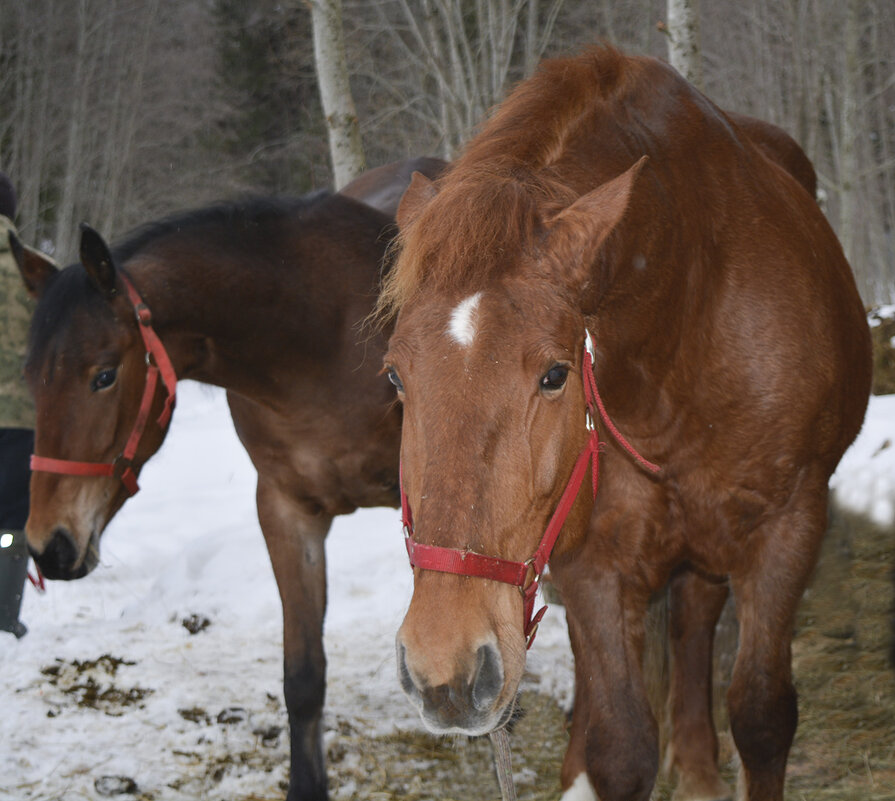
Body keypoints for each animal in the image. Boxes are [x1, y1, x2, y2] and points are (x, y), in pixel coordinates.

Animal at [13, 158, 448, 800]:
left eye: (104, 375)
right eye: (31, 379)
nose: (50, 547)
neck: (322, 335)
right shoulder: (287, 512)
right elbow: (303, 678)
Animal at [384, 48, 868, 800]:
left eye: (555, 374)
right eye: (395, 379)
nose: (444, 668)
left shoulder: (787, 527)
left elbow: (762, 717)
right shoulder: (592, 558)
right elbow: (621, 745)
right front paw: (593, 763)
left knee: (694, 622)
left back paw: (695, 766)